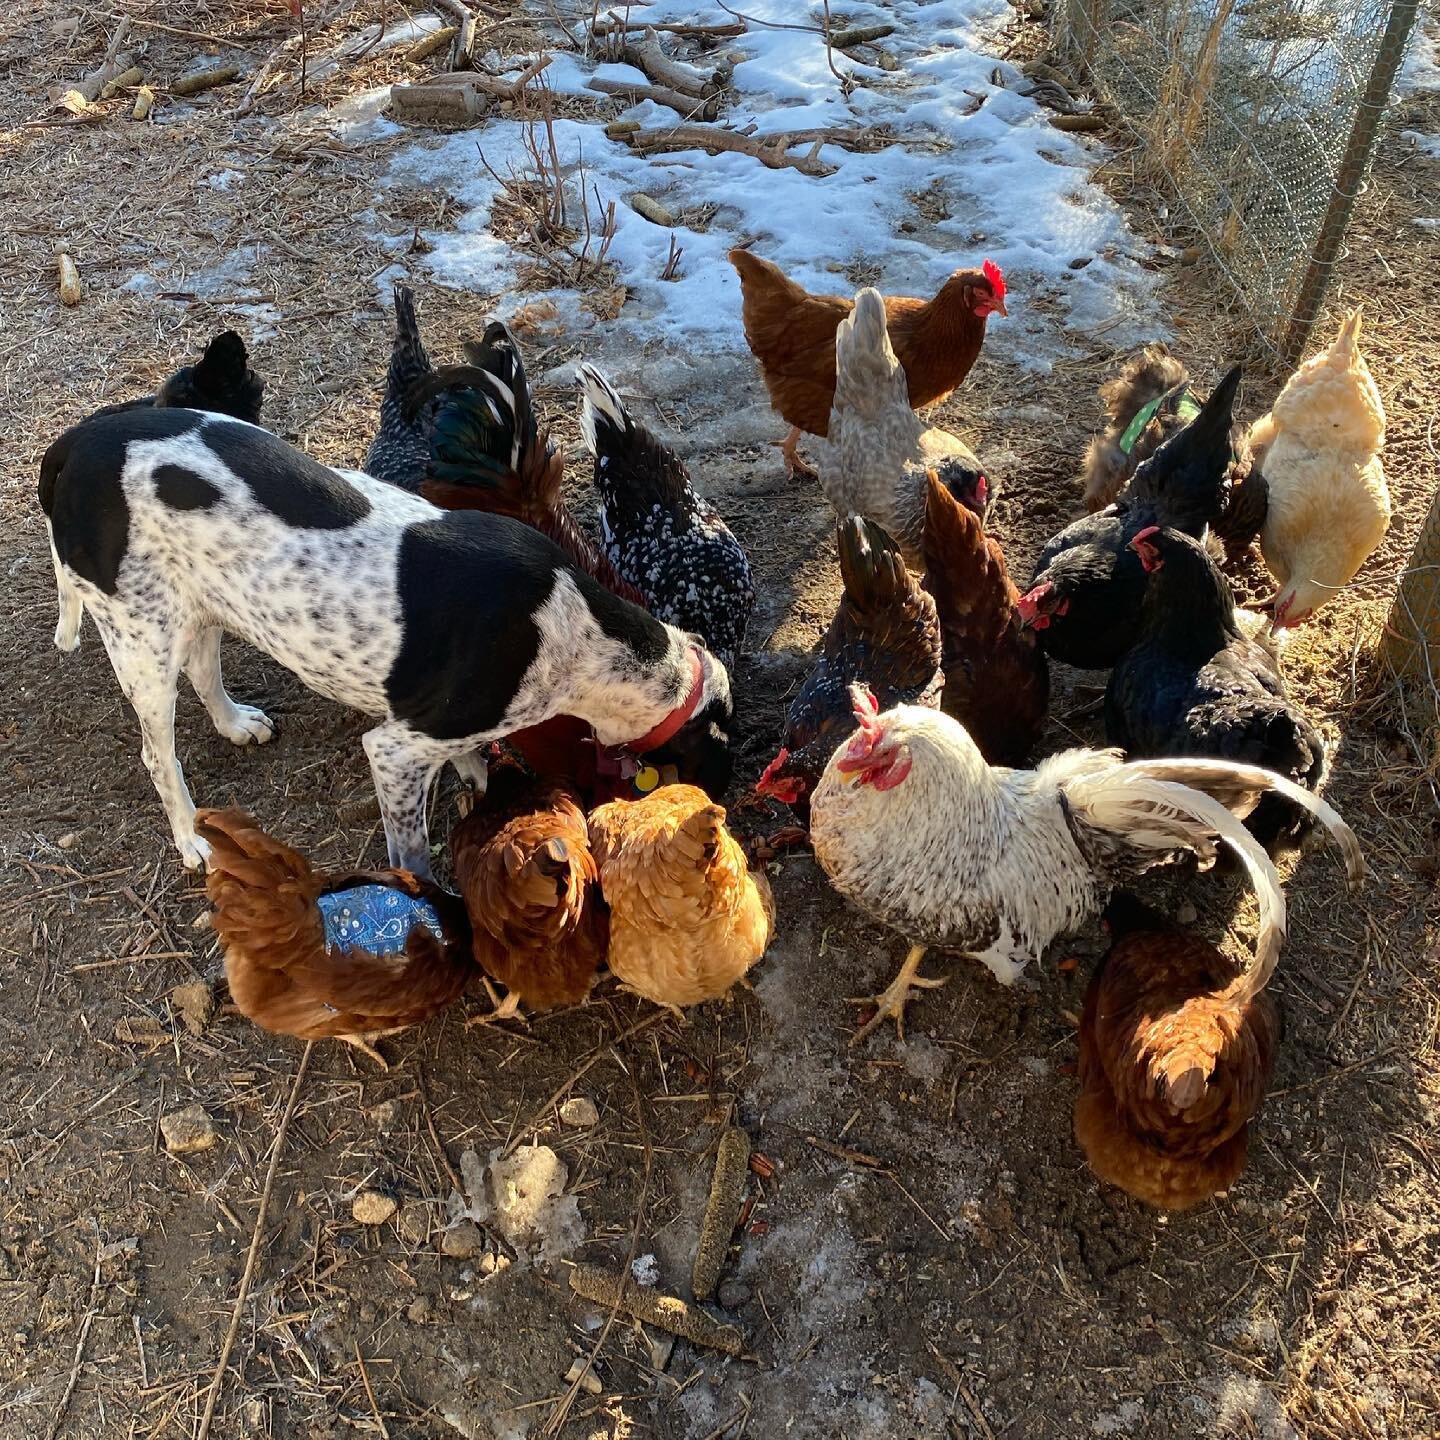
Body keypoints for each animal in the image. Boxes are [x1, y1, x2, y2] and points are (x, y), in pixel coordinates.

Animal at [39, 408, 737, 875]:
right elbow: (412, 849)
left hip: (202, 605)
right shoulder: (395, 751)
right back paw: (192, 839)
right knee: (159, 756)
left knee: (206, 672)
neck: (581, 628)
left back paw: (235, 724)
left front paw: (481, 784)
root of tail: (71, 444)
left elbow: (472, 761)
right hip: (141, 643)